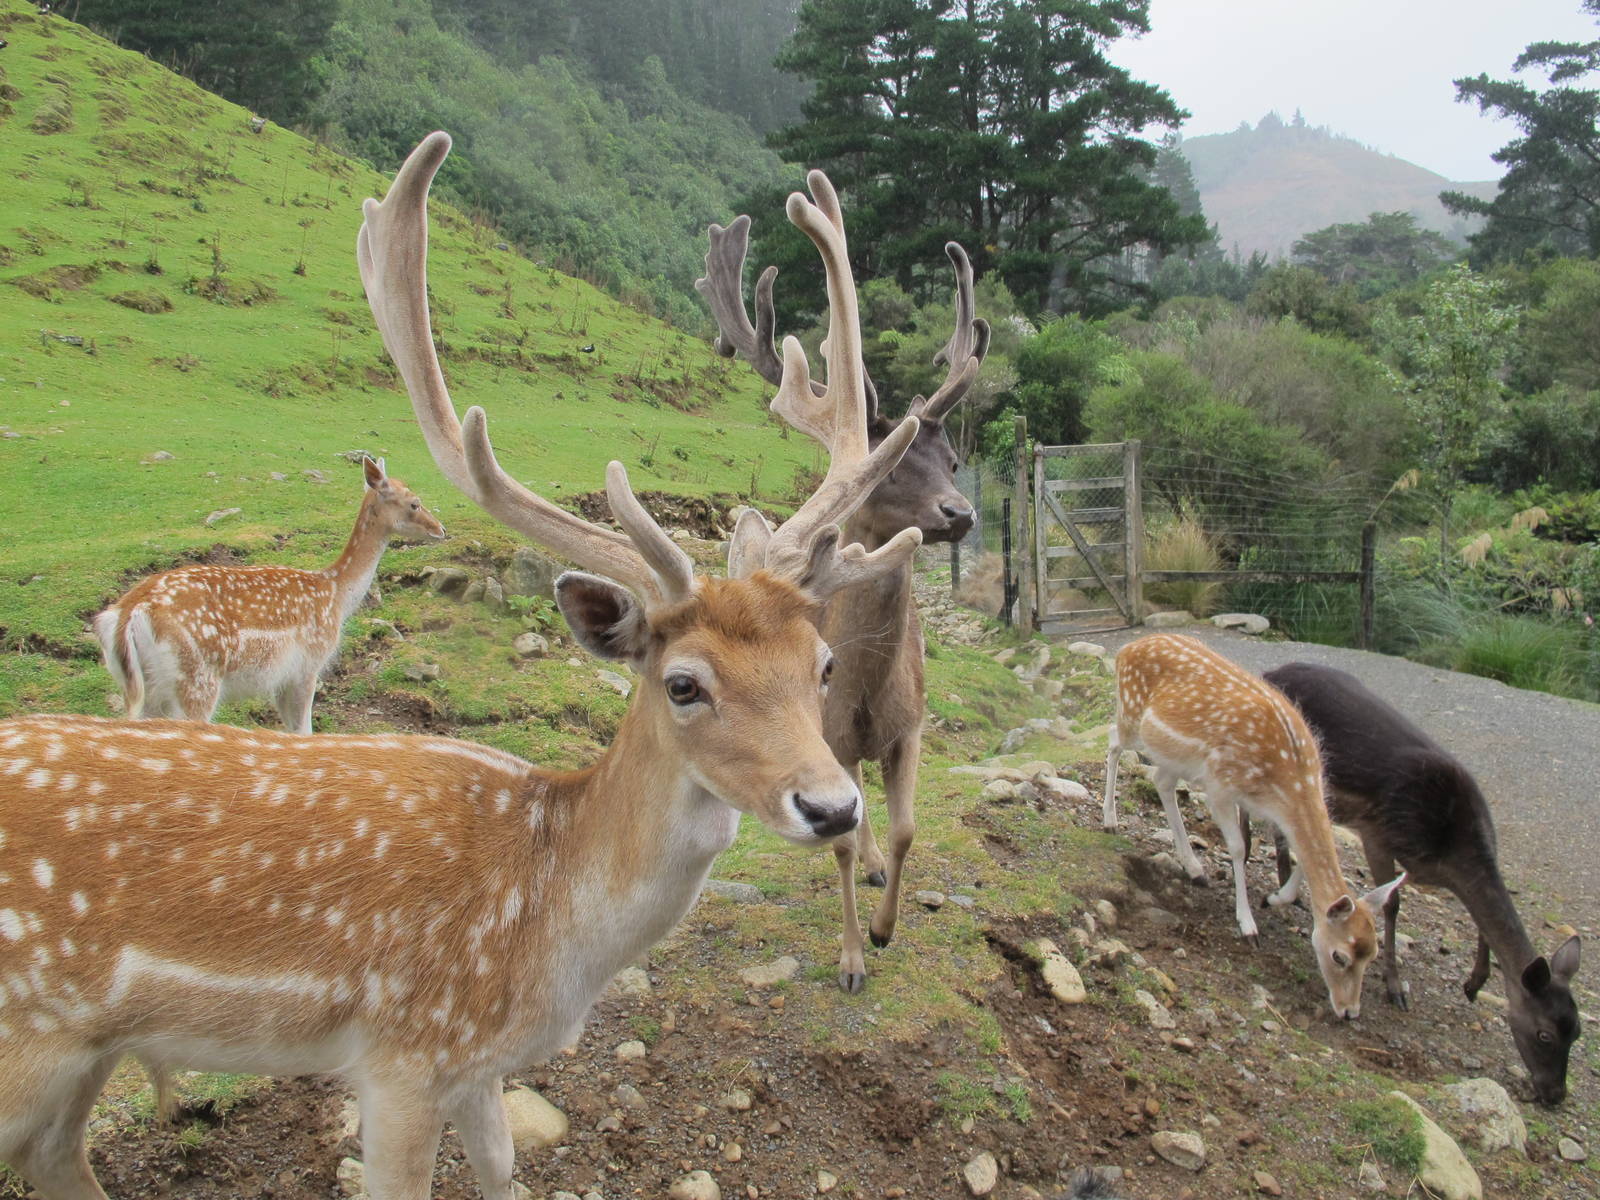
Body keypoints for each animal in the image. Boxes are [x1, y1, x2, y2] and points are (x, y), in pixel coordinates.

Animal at [91, 457, 445, 734]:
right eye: (414, 503)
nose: (441, 529)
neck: (335, 595)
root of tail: (128, 615)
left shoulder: (281, 679)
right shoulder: (306, 666)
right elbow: (303, 732)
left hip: (137, 686)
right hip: (196, 679)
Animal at [697, 192, 989, 992]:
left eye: (953, 458)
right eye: (893, 468)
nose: (960, 512)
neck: (864, 691)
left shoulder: (912, 725)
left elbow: (907, 826)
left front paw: (887, 925)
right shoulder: (825, 739)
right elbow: (839, 840)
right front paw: (855, 956)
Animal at [1101, 634, 1404, 1019]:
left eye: (1372, 955)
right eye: (1340, 956)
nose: (1350, 1011)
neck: (1286, 783)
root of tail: (1128, 647)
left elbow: (1297, 854)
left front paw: (1274, 898)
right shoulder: (1220, 785)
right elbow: (1238, 847)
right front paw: (1248, 926)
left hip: (1174, 754)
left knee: (1161, 781)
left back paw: (1194, 868)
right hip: (1131, 711)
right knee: (1113, 742)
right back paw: (1109, 820)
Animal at [1262, 662, 1583, 1104]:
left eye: (1578, 1032)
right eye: (1544, 1034)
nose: (1555, 1094)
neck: (1449, 850)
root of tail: (1272, 670)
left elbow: (1479, 925)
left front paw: (1473, 983)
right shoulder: (1378, 834)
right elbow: (1392, 905)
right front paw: (1396, 988)